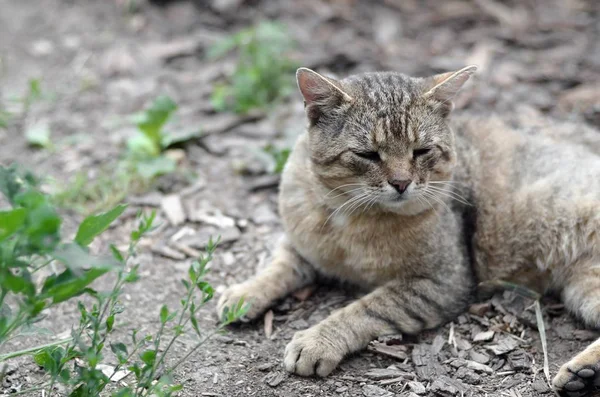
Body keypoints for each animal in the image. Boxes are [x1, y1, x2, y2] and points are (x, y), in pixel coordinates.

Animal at [218, 65, 600, 396]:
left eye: (422, 151)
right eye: (368, 154)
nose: (401, 183)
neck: (352, 218)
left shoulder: (441, 282)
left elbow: (365, 308)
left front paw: (317, 341)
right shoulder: (300, 244)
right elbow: (277, 265)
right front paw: (244, 293)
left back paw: (583, 370)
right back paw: (585, 373)